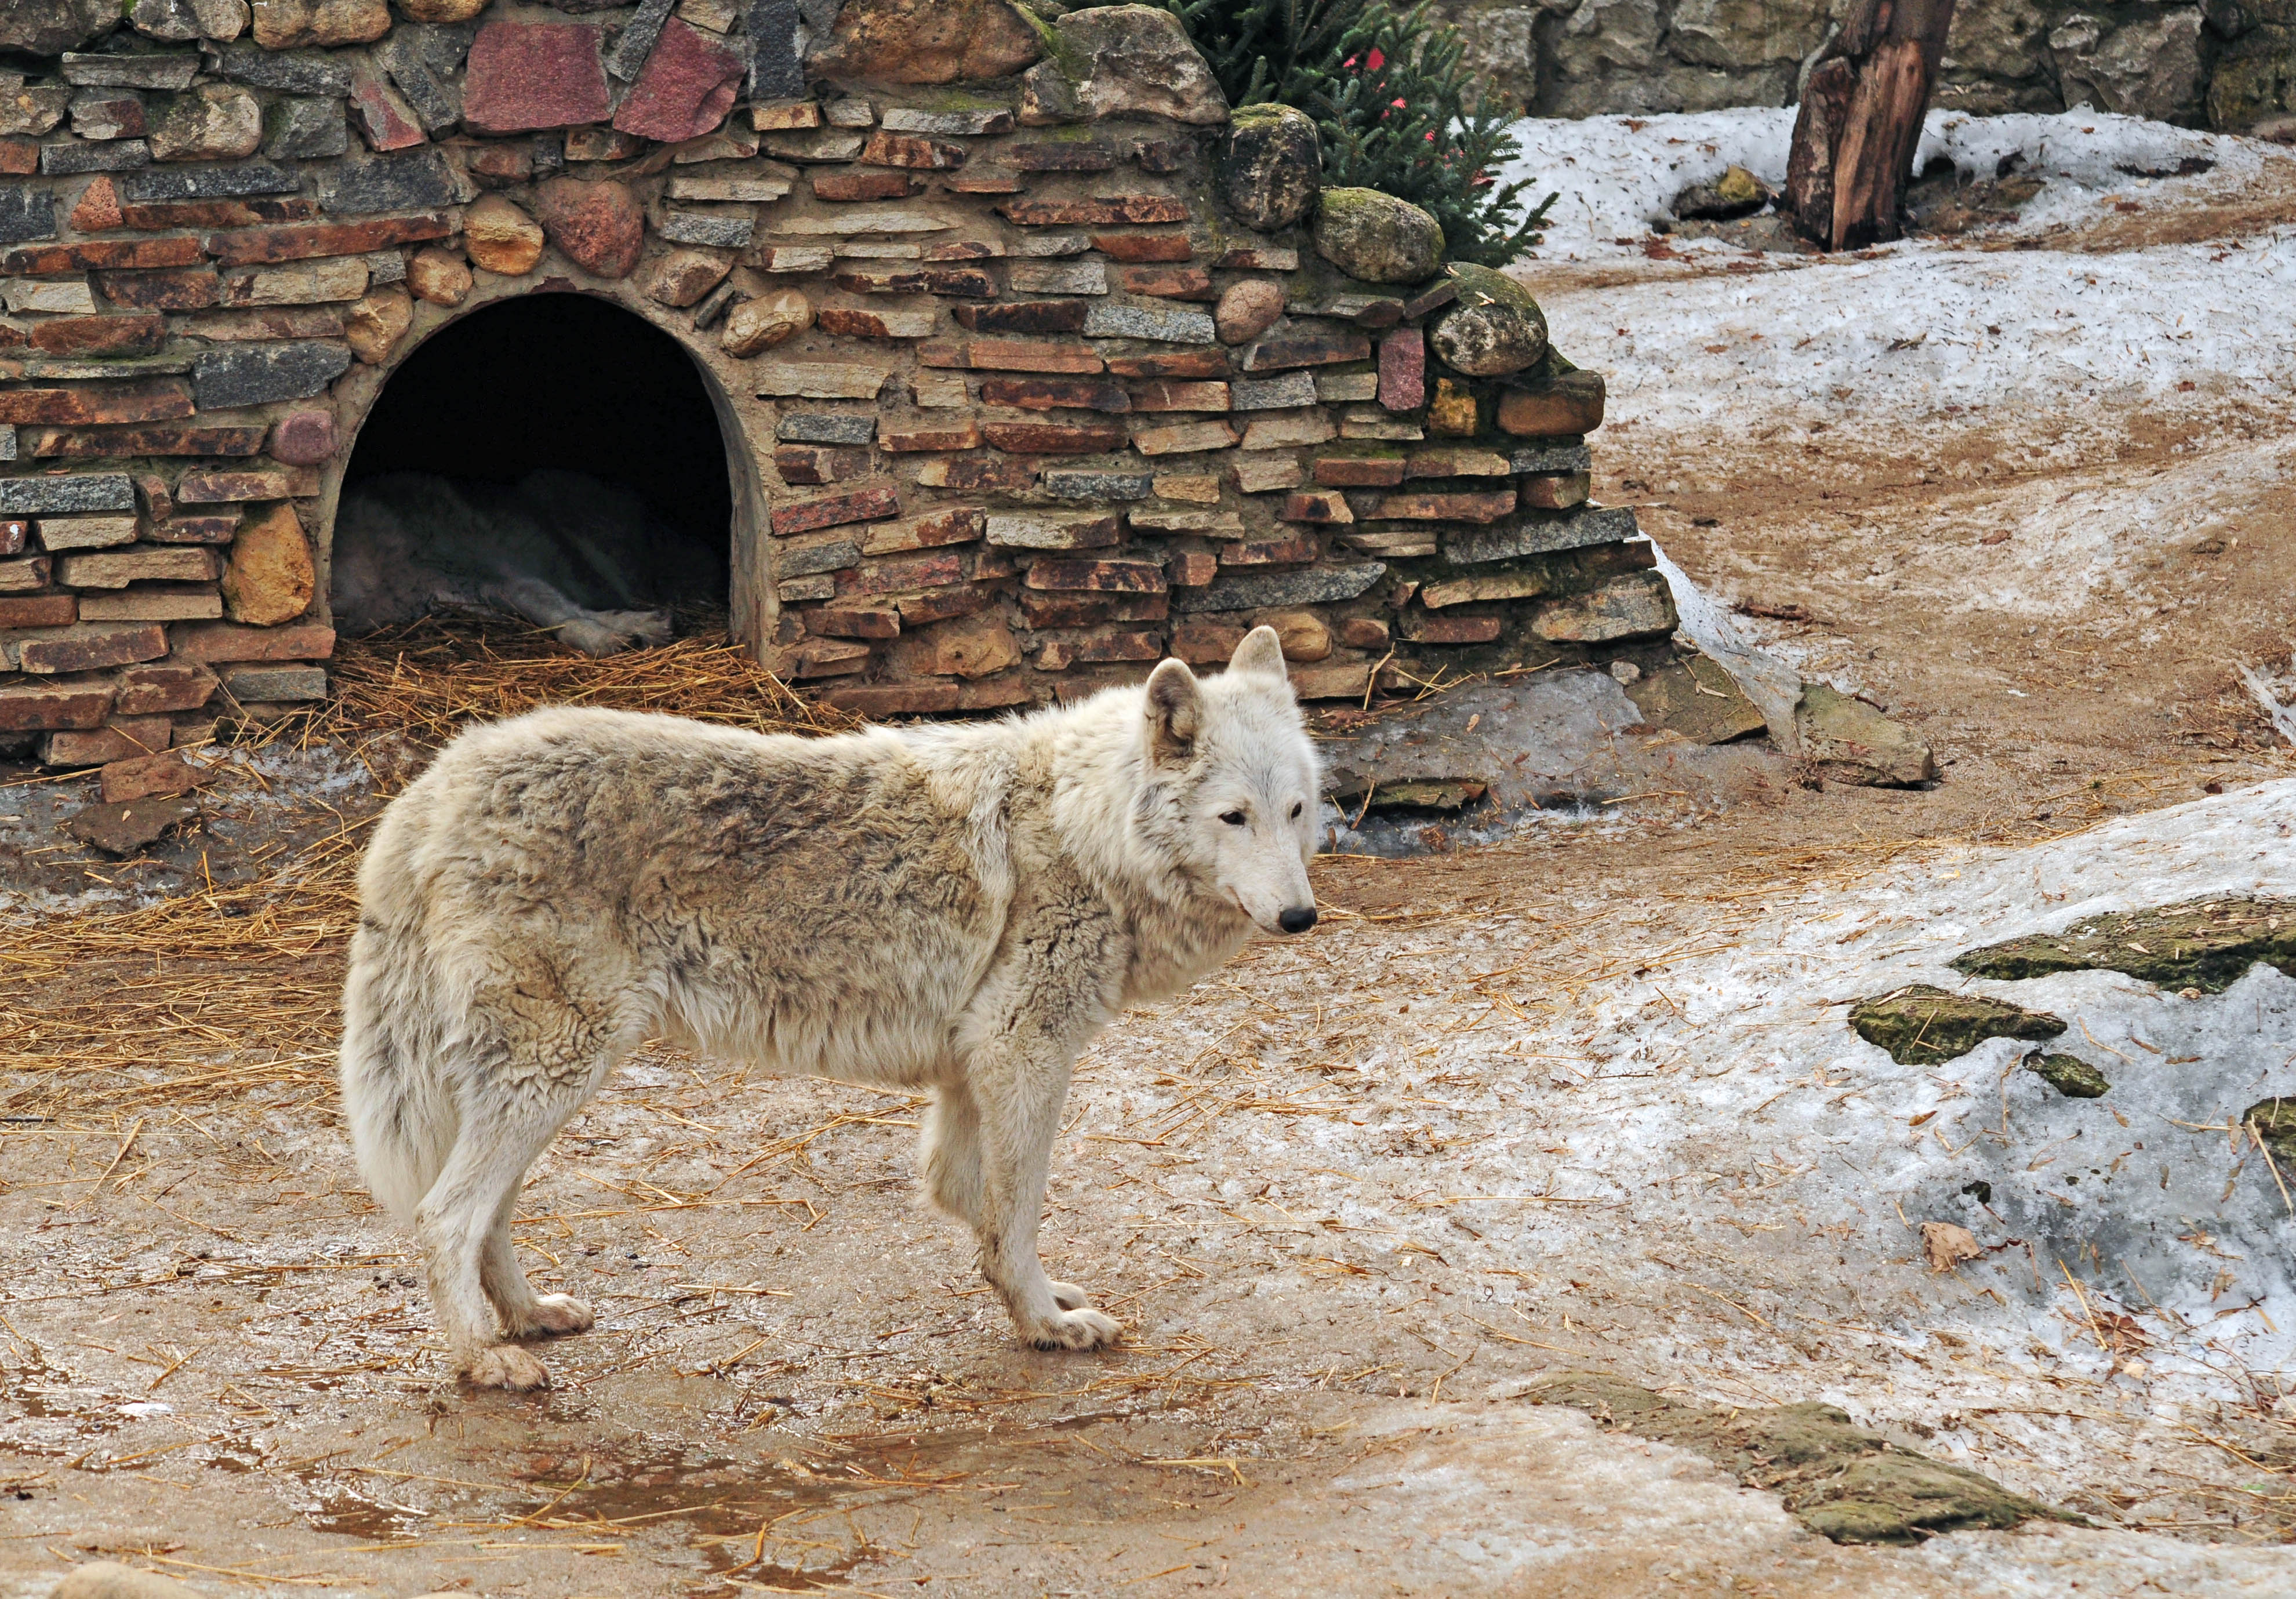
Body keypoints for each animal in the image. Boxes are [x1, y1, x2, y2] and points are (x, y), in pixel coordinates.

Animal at [330, 468, 716, 657]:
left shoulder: (498, 575)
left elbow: (559, 611)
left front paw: (633, 629)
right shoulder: (461, 593)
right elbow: (558, 616)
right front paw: (617, 634)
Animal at [333, 624, 1322, 1387]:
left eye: (1298, 810)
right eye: (1234, 817)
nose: (1301, 916)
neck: (1088, 827)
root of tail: (435, 781)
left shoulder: (972, 1065)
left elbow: (972, 1200)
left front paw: (1039, 1292)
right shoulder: (1021, 1051)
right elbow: (1017, 1210)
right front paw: (1047, 1323)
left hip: (540, 1085)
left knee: (485, 1214)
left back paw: (531, 1314)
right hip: (556, 1071)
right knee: (444, 1216)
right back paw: (485, 1359)